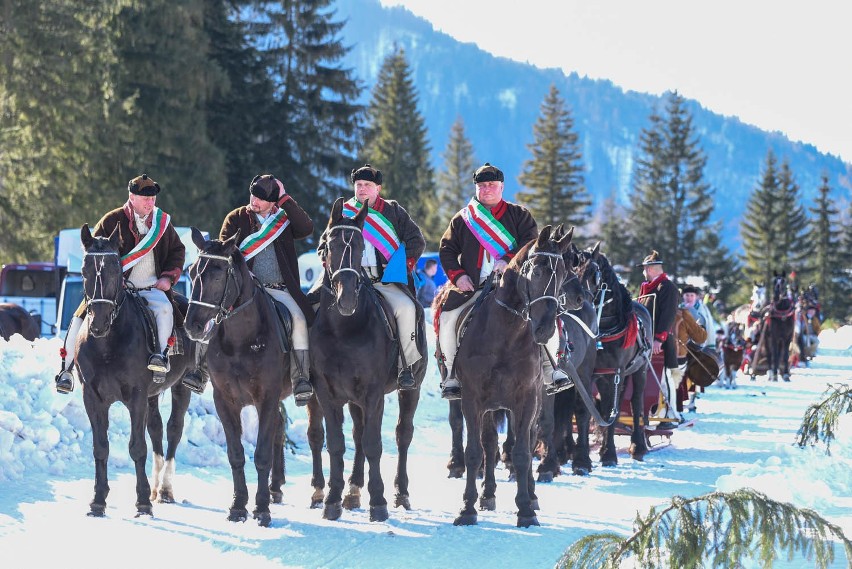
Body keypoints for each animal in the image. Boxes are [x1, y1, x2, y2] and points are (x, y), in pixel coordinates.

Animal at [73, 224, 195, 516]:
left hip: (181, 386)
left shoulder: (137, 396)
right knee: (157, 429)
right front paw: (98, 500)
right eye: (84, 271)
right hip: (153, 395)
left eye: (116, 269)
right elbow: (100, 447)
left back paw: (164, 490)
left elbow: (137, 447)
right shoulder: (92, 398)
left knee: (174, 429)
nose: (99, 323)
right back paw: (155, 487)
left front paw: (141, 502)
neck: (107, 343)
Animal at [185, 224, 318, 524]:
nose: (192, 325)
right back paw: (276, 487)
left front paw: (261, 509)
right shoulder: (225, 401)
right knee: (280, 429)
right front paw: (238, 505)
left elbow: (261, 453)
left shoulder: (265, 398)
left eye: (218, 274)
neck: (240, 339)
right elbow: (236, 454)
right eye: (192, 272)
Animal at [308, 200, 426, 524]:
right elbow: (338, 443)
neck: (344, 329)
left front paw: (379, 502)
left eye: (361, 246)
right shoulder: (327, 392)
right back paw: (352, 490)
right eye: (328, 245)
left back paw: (400, 493)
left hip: (411, 389)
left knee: (402, 434)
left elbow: (374, 443)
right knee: (358, 434)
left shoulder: (373, 393)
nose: (346, 298)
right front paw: (333, 500)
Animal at [452, 224, 572, 524]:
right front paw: (467, 508)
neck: (505, 333)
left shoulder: (526, 399)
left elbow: (522, 452)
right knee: (490, 443)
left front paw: (526, 509)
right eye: (537, 272)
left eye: (563, 275)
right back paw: (487, 494)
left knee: (526, 440)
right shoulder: (473, 401)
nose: (545, 329)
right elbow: (475, 452)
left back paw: (531, 494)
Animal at [580, 246, 652, 464]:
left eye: (593, 272)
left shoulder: (614, 374)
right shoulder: (593, 373)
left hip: (639, 370)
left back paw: (638, 445)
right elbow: (590, 409)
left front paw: (609, 454)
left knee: (636, 403)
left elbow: (610, 411)